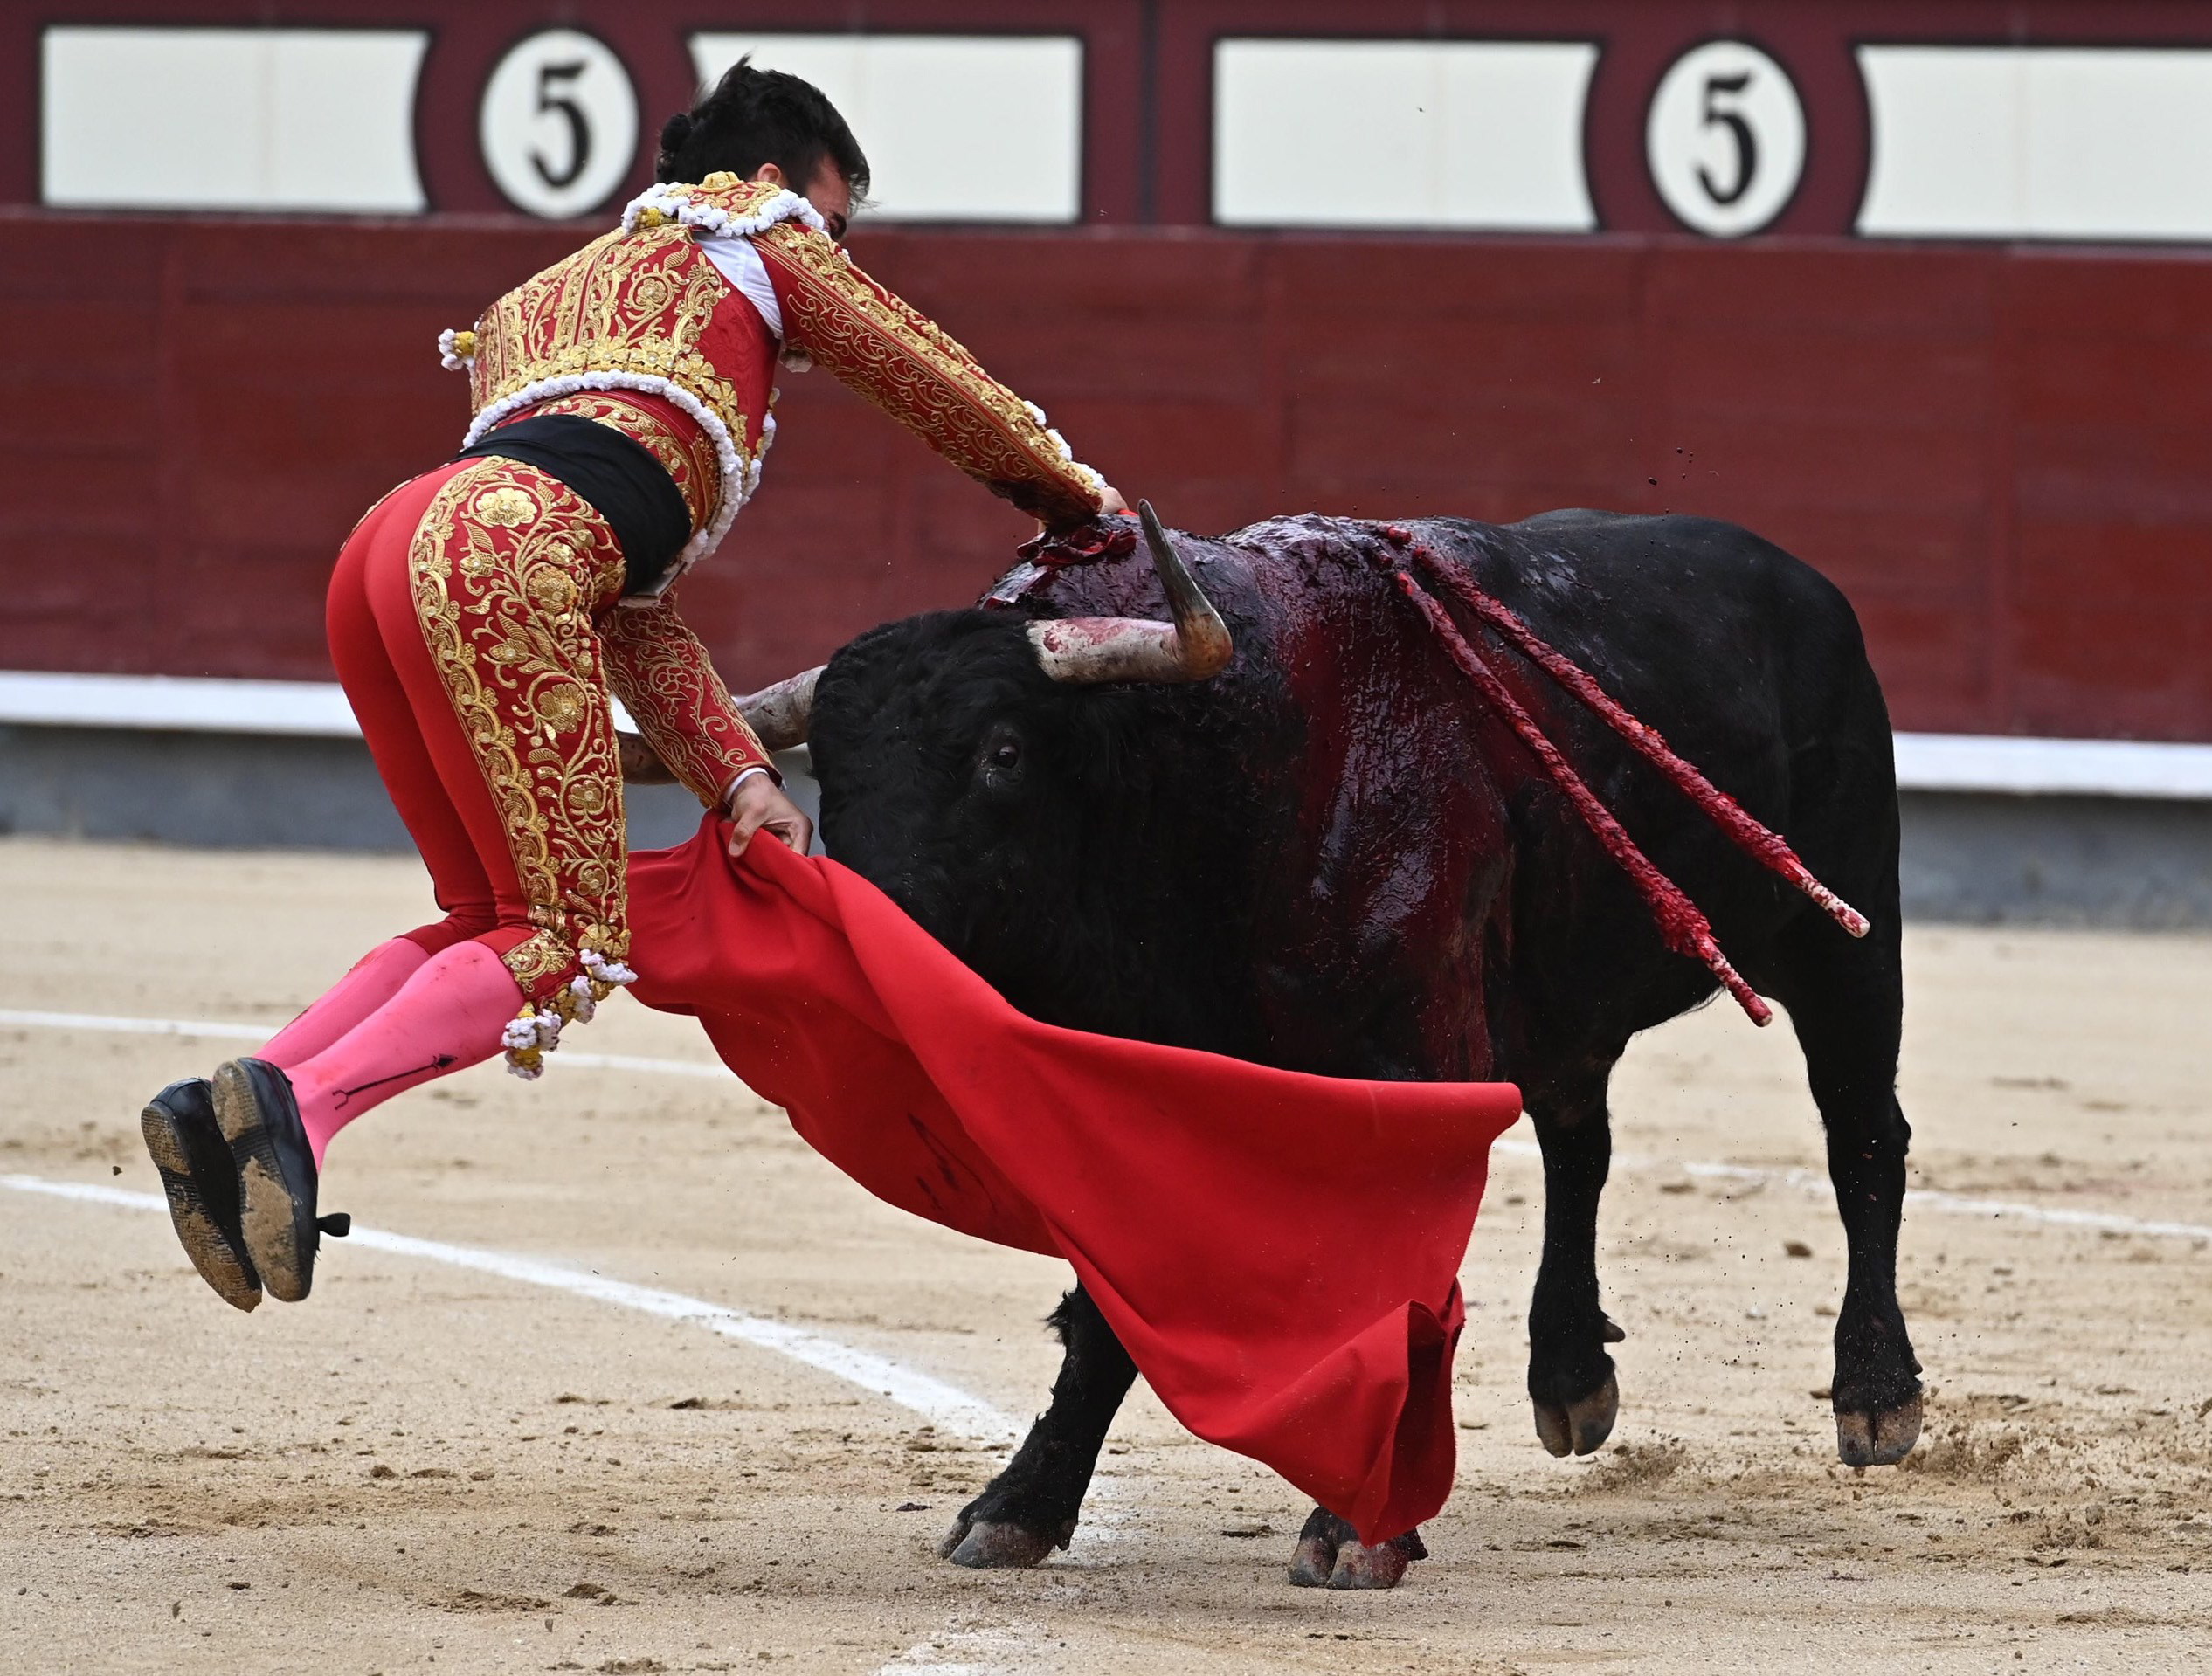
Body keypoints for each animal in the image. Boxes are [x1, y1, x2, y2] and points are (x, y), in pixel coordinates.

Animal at [716, 506, 1911, 1591]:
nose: (856, 944)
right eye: (831, 771)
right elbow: (1106, 1306)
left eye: (1002, 752)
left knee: (1863, 1134)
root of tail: (1801, 580)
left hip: (1843, 932)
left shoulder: (1417, 1070)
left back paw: (1877, 1393)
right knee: (1582, 1142)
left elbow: (1396, 1283)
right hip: (1572, 995)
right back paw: (1571, 1374)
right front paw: (1019, 1504)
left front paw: (1358, 1527)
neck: (1213, 784)